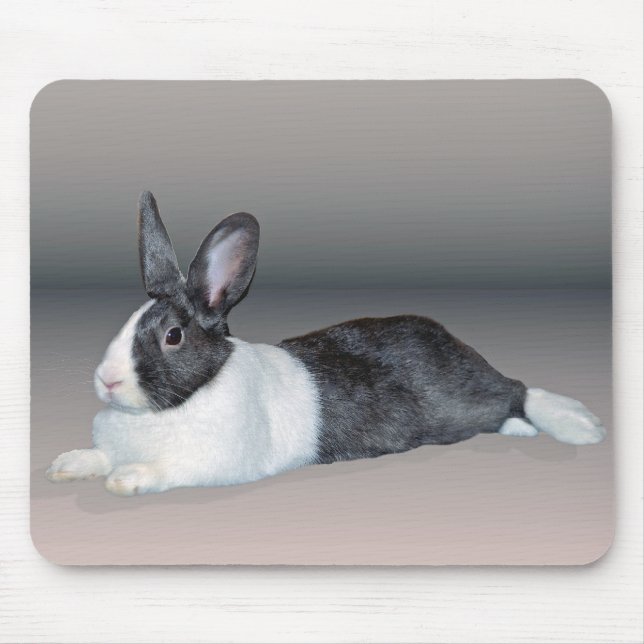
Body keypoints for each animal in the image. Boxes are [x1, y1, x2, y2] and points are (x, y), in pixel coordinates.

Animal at [46, 191, 607, 496]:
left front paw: (127, 479)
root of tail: (457, 344)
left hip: (463, 403)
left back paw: (580, 425)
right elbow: (99, 457)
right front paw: (67, 465)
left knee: (517, 390)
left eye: (172, 336)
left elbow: (165, 470)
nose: (107, 381)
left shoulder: (210, 463)